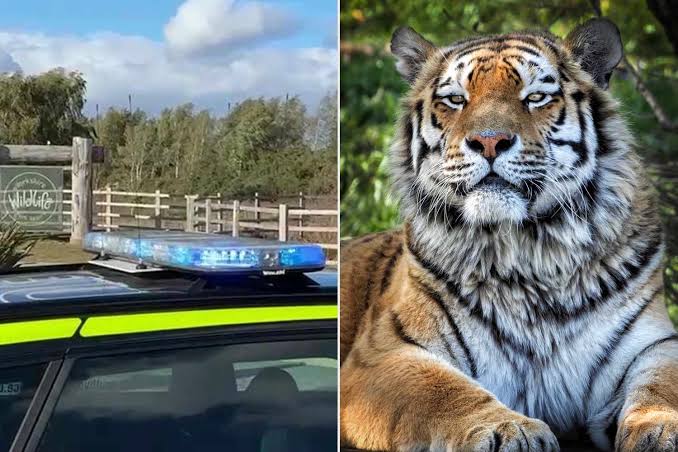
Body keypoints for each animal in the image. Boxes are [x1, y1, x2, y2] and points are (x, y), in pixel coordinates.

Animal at [340, 18, 678, 452]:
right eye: (455, 100)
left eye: (535, 97)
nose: (488, 141)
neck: (527, 250)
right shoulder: (384, 353)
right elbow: (442, 391)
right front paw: (508, 430)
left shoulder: (654, 344)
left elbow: (662, 386)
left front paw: (661, 427)